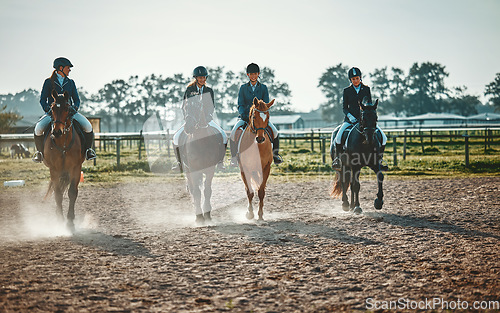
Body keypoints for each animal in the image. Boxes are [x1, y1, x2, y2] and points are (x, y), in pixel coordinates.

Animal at [42, 89, 85, 230]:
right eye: (52, 108)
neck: (63, 144)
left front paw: (70, 220)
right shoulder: (54, 169)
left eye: (67, 108)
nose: (57, 132)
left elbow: (72, 192)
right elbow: (58, 194)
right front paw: (60, 220)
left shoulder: (76, 168)